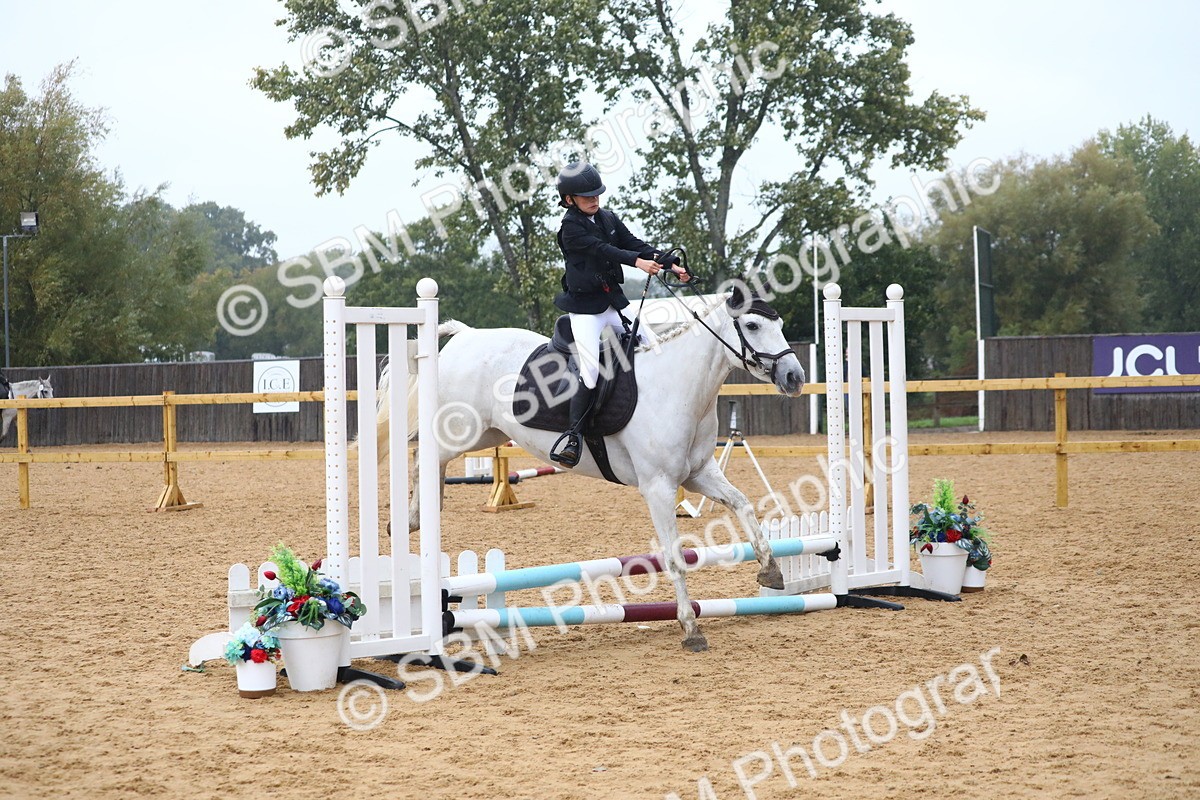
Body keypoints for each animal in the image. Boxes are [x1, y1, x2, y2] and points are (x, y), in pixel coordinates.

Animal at [377, 286, 805, 651]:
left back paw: (421, 515)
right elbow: (674, 557)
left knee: (430, 461)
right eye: (752, 326)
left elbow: (744, 504)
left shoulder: (700, 475)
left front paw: (770, 572)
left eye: (780, 324)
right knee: (422, 456)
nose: (794, 377)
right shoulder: (659, 487)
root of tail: (465, 336)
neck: (678, 387)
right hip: (461, 431)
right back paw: (412, 519)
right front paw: (691, 629)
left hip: (485, 434)